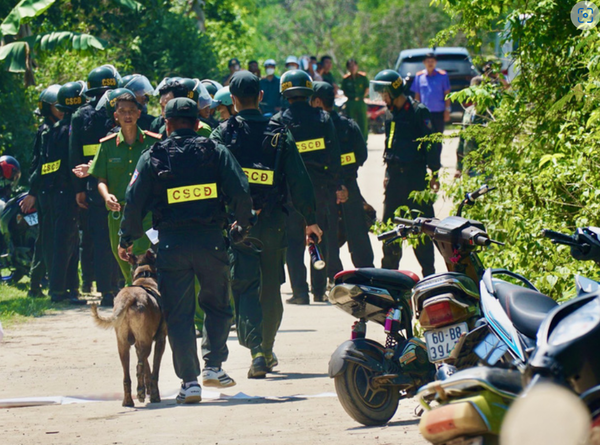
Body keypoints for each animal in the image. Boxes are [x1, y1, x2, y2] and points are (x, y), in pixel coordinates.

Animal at [91, 250, 166, 406]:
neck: (145, 277)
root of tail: (128, 297)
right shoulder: (160, 339)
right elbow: (153, 370)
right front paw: (153, 395)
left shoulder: (138, 343)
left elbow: (148, 368)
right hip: (146, 343)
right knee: (139, 367)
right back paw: (141, 392)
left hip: (123, 345)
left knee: (127, 375)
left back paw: (128, 400)